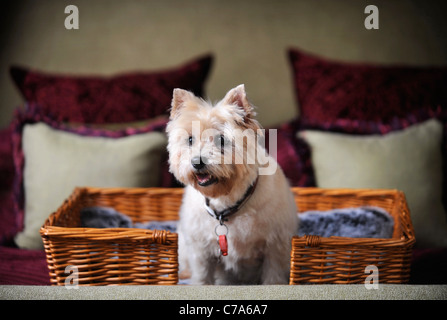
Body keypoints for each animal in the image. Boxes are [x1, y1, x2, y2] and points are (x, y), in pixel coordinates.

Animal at [166, 85, 300, 284]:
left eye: (221, 140)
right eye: (190, 139)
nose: (197, 162)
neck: (225, 200)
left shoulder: (276, 246)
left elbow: (273, 276)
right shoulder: (200, 251)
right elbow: (202, 277)